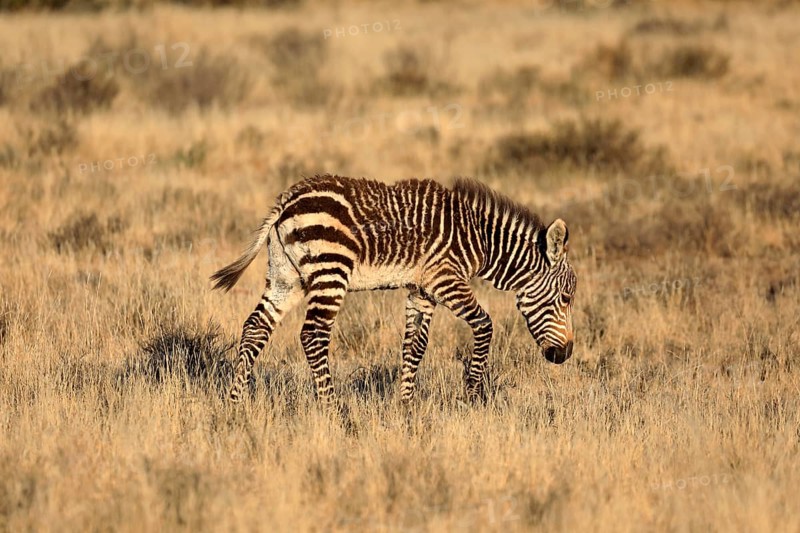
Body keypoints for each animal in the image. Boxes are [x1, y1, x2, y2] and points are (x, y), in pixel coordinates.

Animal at [211, 174, 576, 405]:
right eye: (566, 298)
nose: (566, 354)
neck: (478, 239)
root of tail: (287, 200)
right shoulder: (446, 280)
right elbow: (485, 325)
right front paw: (472, 393)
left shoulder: (421, 290)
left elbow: (414, 347)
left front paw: (406, 408)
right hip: (331, 269)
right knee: (313, 335)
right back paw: (333, 410)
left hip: (286, 277)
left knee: (255, 327)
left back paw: (236, 404)